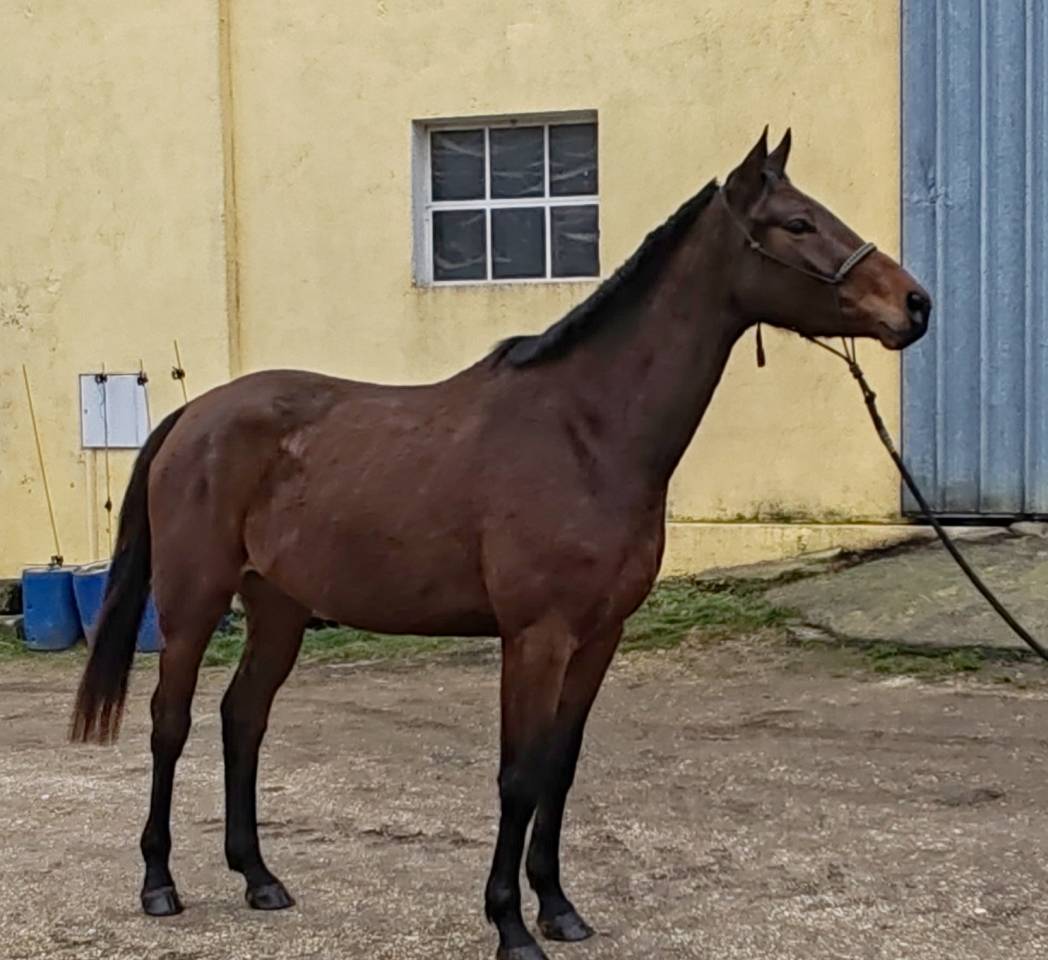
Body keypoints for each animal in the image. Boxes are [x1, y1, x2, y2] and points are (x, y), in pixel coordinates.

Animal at [71, 128, 930, 960]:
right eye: (798, 223)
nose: (915, 304)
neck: (587, 431)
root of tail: (194, 415)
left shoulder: (598, 638)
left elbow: (559, 769)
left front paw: (559, 908)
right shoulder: (535, 637)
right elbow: (518, 776)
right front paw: (511, 926)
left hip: (279, 607)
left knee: (243, 717)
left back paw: (259, 878)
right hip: (193, 603)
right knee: (170, 721)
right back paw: (159, 883)